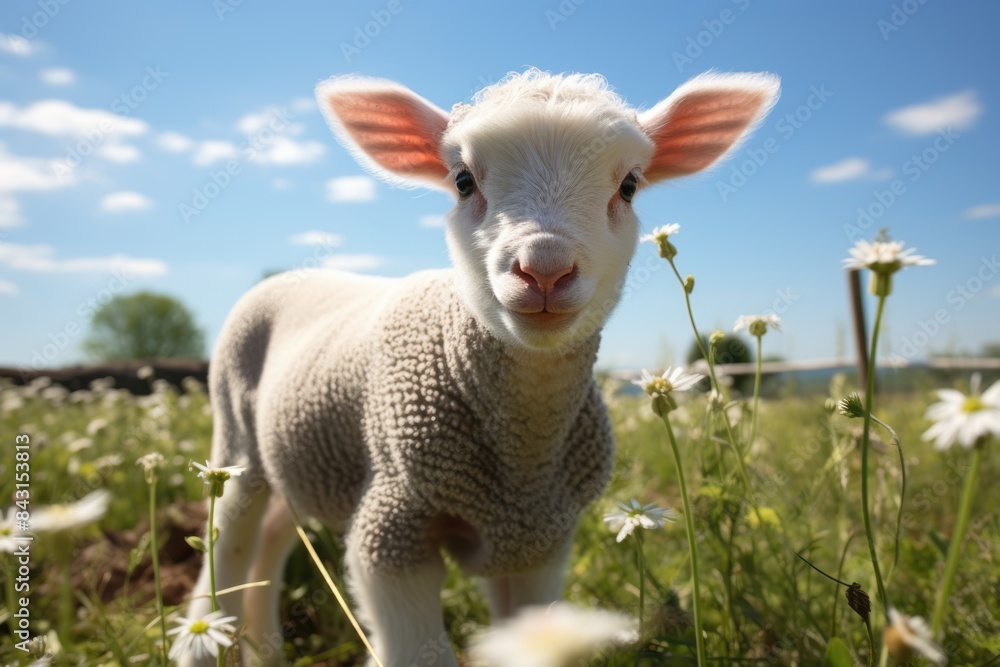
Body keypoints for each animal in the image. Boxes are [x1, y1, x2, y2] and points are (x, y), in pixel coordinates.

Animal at [181, 68, 779, 667]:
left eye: (629, 185)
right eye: (464, 181)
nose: (544, 269)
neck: (522, 450)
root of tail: (292, 275)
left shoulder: (538, 541)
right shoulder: (392, 529)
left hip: (297, 458)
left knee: (272, 539)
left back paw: (264, 647)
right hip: (234, 439)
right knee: (228, 542)